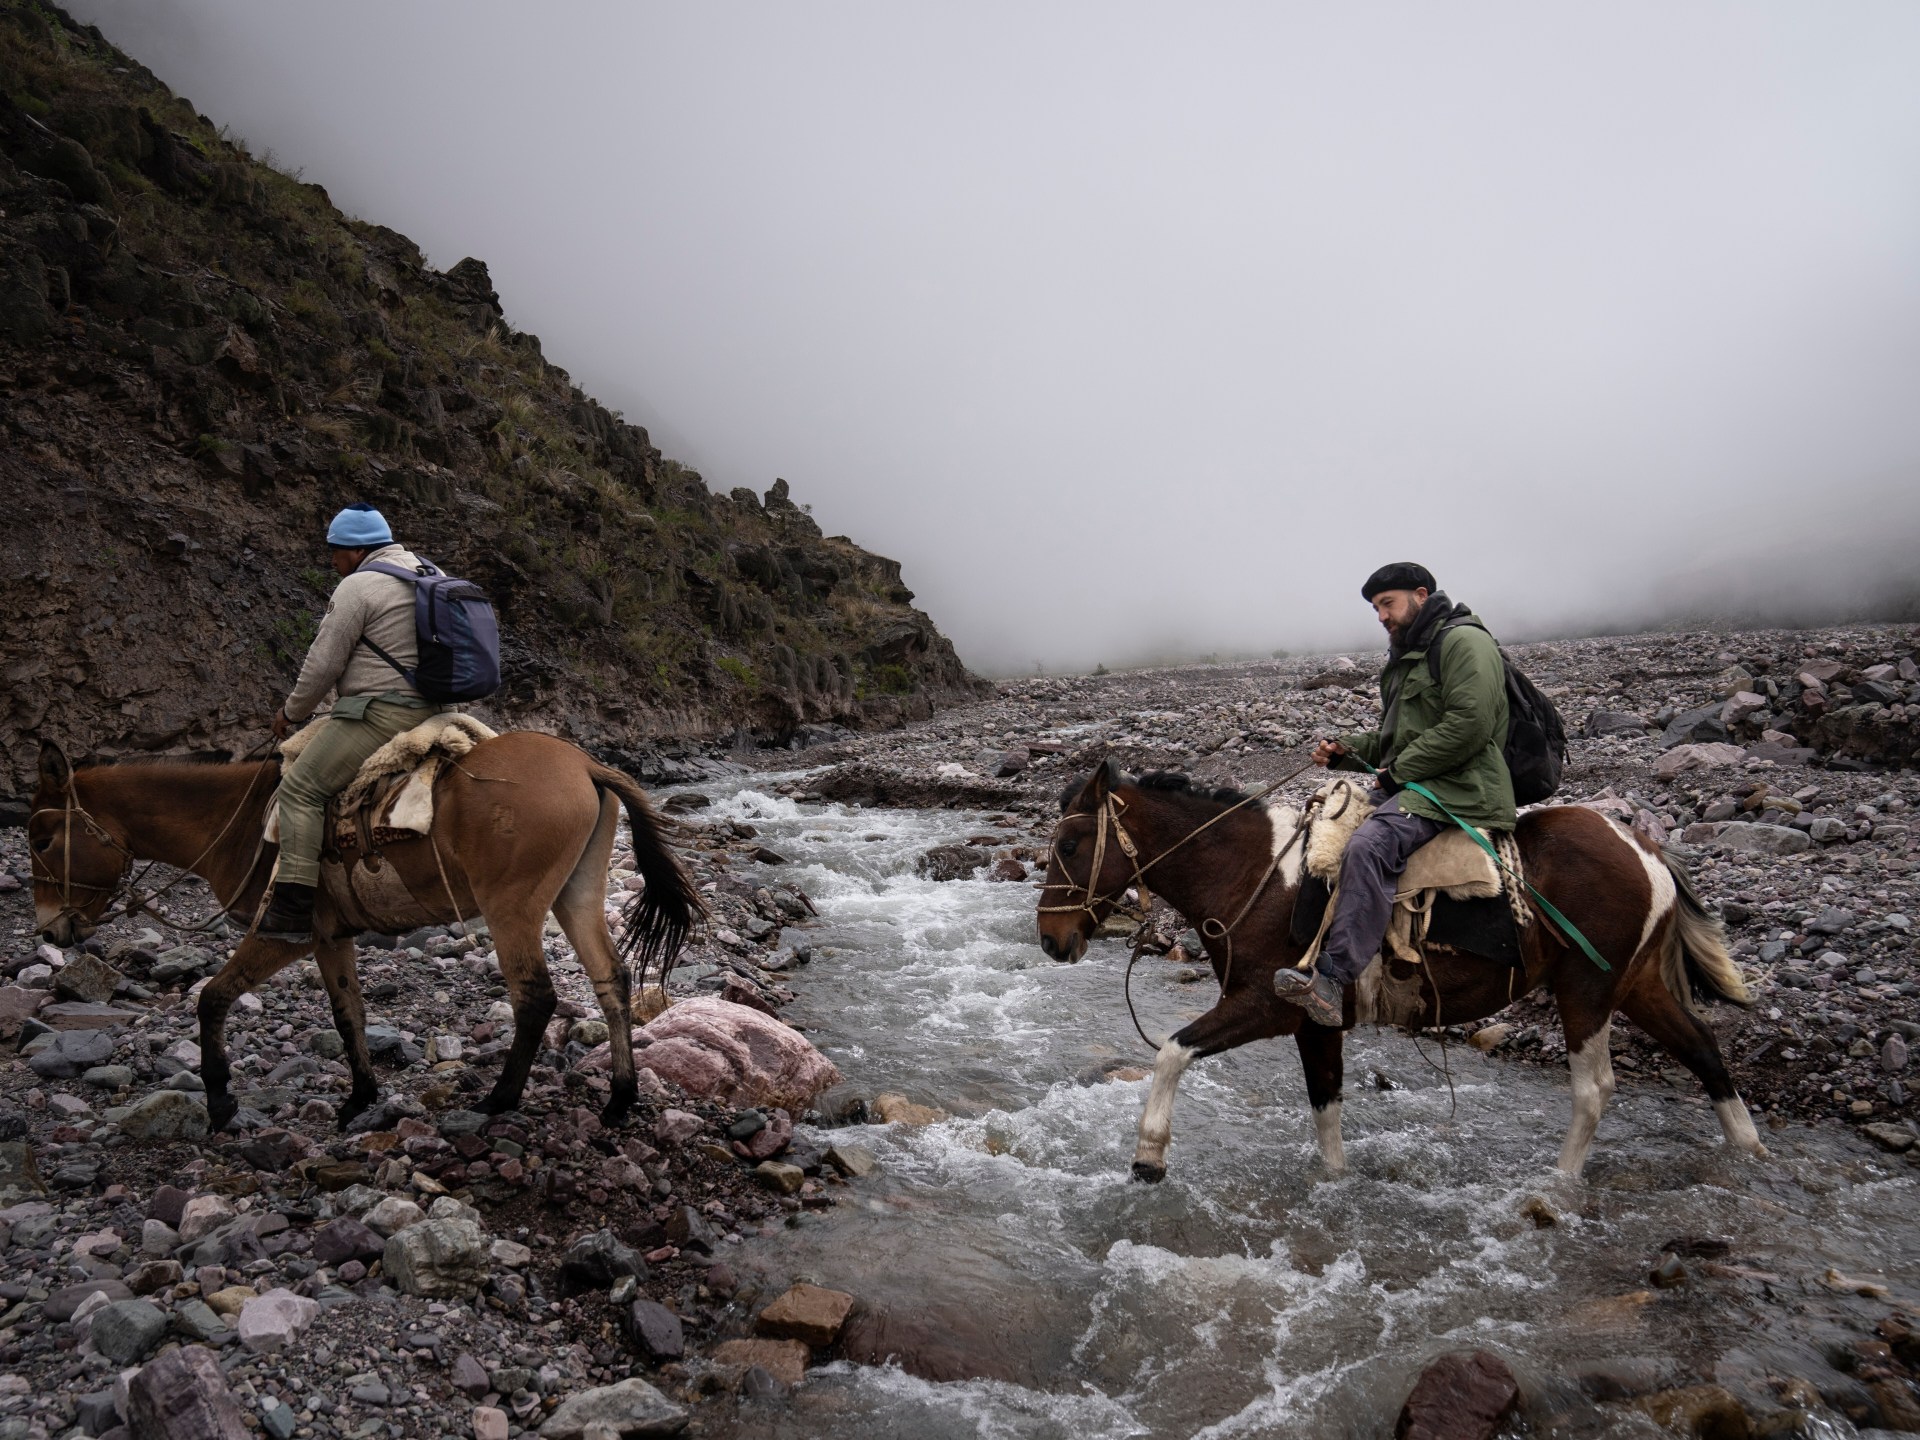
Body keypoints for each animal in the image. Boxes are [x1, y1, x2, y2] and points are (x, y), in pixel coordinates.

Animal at [26, 737, 702, 1136]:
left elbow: (212, 998)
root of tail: (584, 764)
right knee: (611, 977)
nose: (51, 926)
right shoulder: (330, 938)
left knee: (535, 997)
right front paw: (360, 1098)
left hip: (511, 906)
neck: (235, 824)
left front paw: (220, 1101)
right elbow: (347, 1011)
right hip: (575, 893)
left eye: (41, 838)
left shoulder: (283, 934)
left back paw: (499, 1100)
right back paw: (619, 1096)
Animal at [1044, 768, 1758, 1182]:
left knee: (1595, 1089)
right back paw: (1749, 1153)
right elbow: (1327, 1110)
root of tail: (1646, 849)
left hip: (1587, 987)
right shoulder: (1315, 1021)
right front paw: (1336, 1187)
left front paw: (1149, 1156)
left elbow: (1171, 1050)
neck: (1257, 874)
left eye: (1069, 846)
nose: (1051, 940)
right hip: (1636, 984)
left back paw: (1558, 1186)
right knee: (1703, 1048)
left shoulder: (1265, 1007)